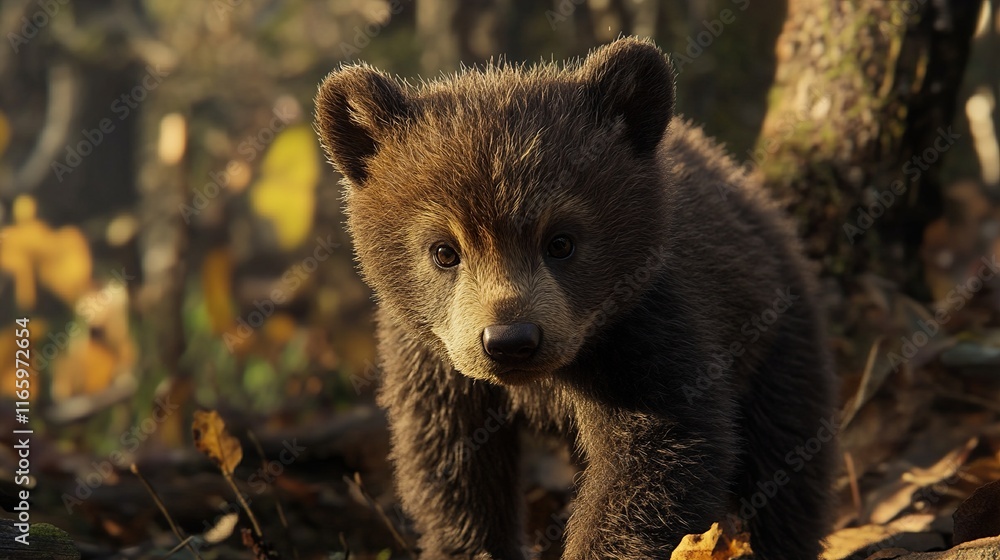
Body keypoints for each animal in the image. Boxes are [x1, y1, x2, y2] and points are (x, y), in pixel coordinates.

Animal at [315, 37, 836, 560]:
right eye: (444, 251)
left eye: (561, 241)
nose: (510, 340)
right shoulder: (434, 363)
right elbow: (452, 471)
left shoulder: (645, 327)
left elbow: (659, 455)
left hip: (776, 337)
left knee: (786, 461)